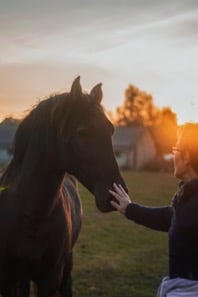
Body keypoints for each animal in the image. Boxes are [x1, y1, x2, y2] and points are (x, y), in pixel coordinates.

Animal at [0, 77, 127, 294]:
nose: (114, 195)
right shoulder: (8, 279)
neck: (32, 214)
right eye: (82, 132)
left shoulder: (51, 277)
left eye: (111, 129)